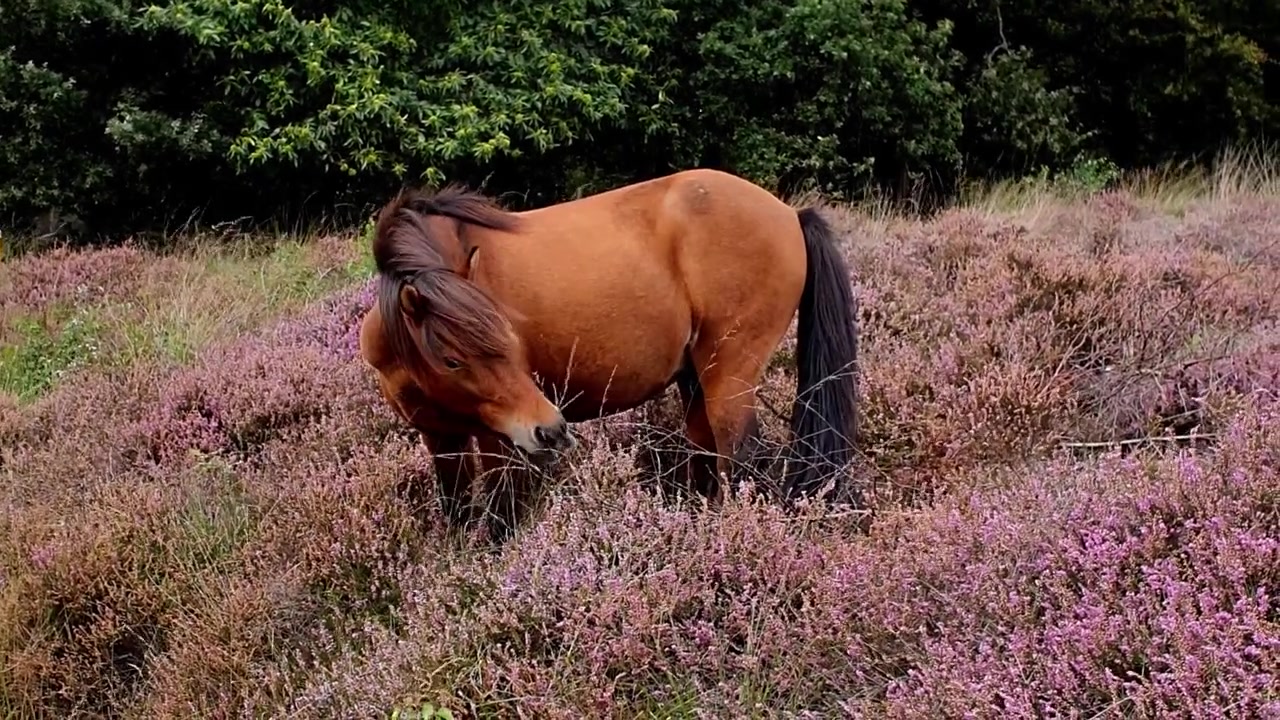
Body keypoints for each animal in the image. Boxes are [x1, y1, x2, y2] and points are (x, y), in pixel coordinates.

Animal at [357, 168, 860, 541]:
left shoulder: (496, 436)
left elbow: (500, 515)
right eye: (452, 360)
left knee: (742, 459)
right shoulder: (441, 436)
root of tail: (789, 213)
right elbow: (457, 509)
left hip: (728, 377)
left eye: (512, 341)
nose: (550, 430)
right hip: (695, 378)